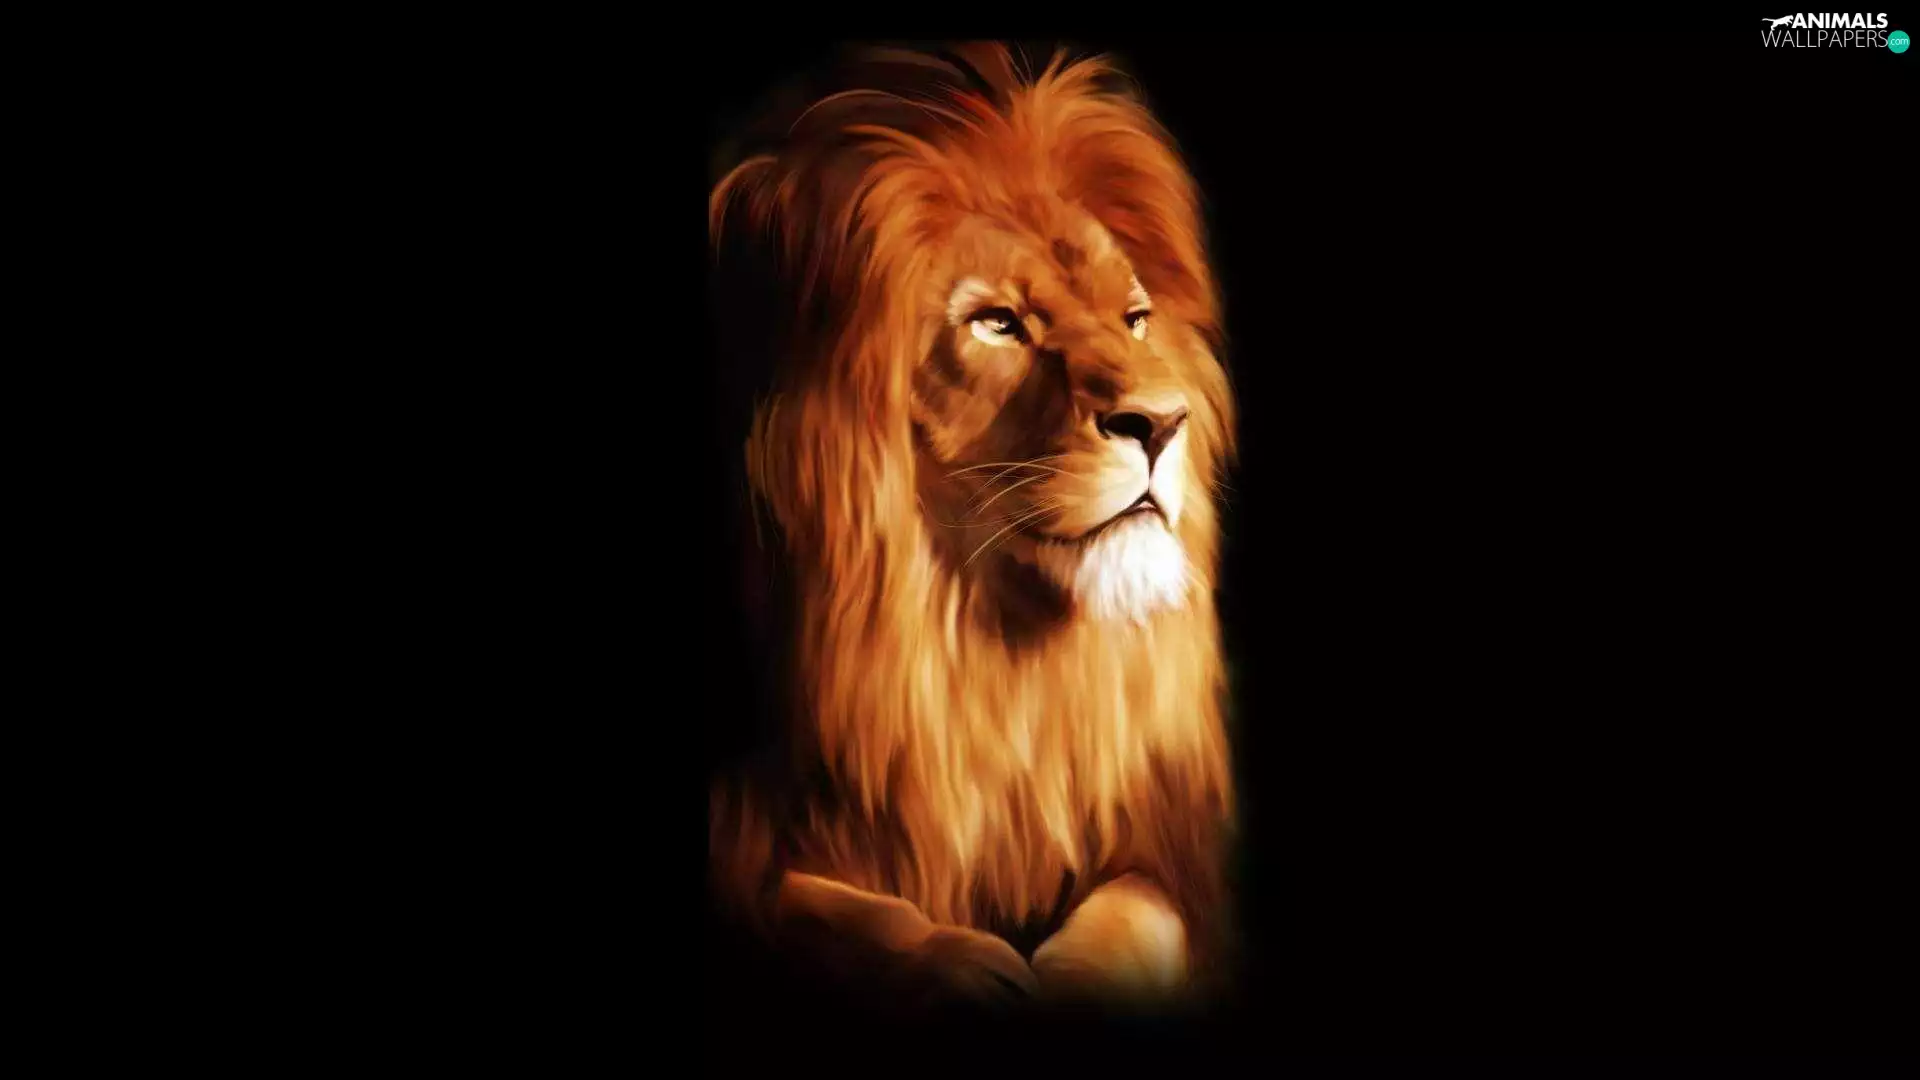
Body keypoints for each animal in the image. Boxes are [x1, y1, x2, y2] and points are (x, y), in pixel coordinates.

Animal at [707, 43, 1238, 1014]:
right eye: (997, 323)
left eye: (1134, 319)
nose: (1162, 422)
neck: (986, 658)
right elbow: (820, 910)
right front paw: (956, 964)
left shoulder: (1163, 848)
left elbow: (1136, 909)